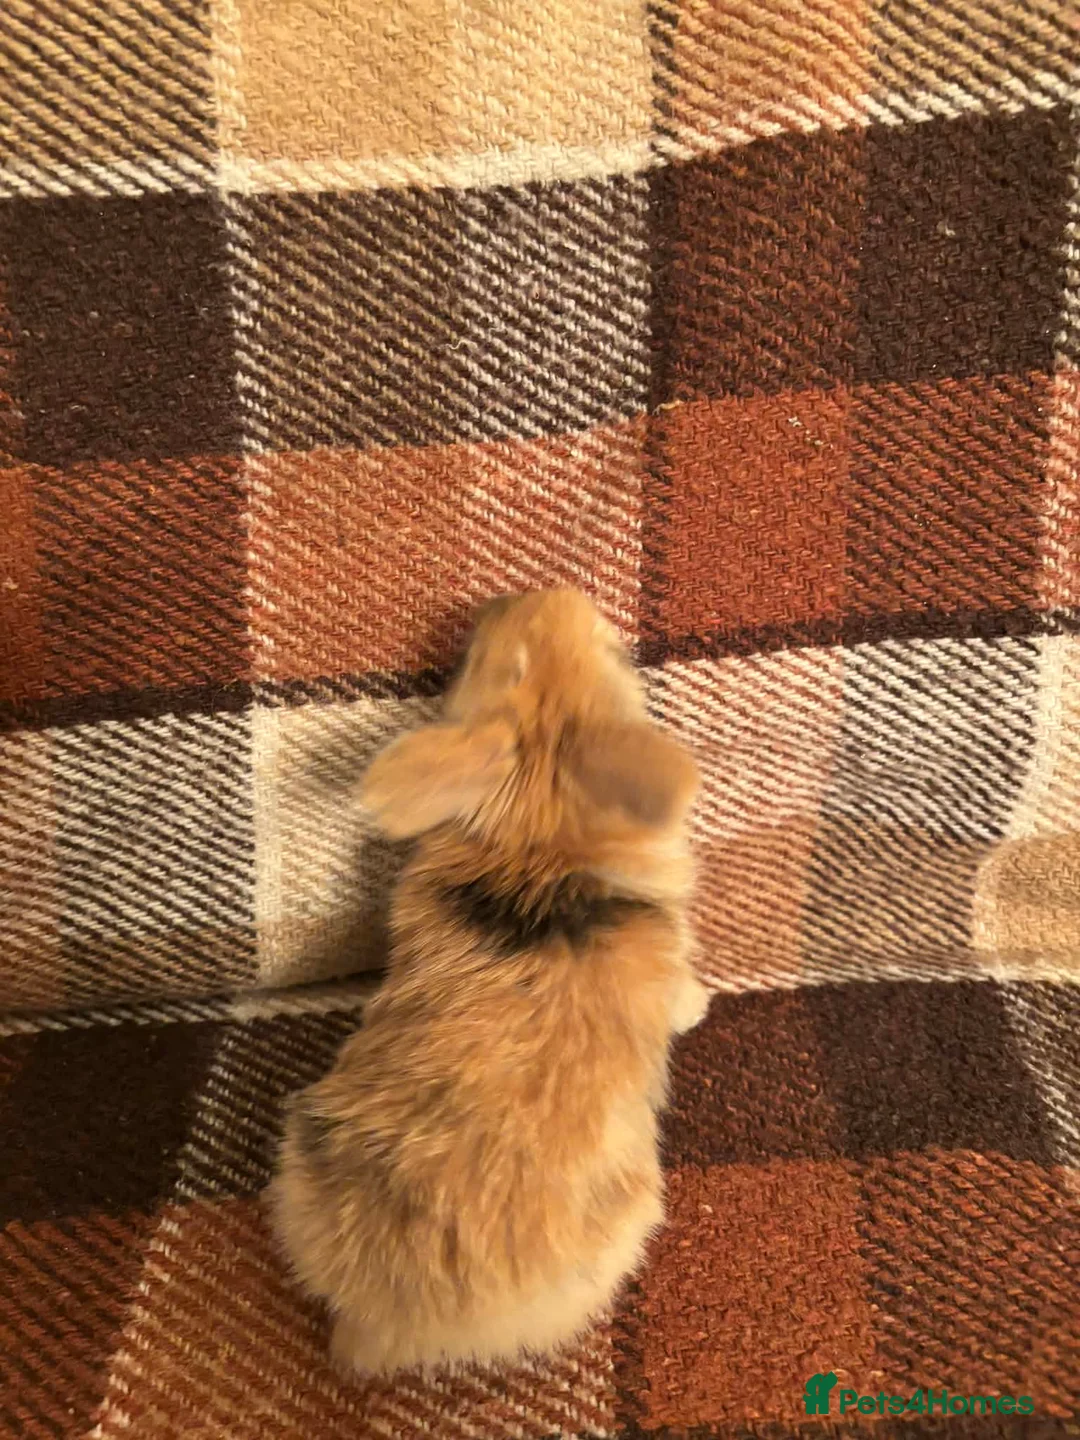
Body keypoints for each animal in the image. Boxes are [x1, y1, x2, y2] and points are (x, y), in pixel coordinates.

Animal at [268, 588, 710, 1376]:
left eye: (478, 662)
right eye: (617, 657)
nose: (517, 596)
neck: (539, 839)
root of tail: (396, 1320)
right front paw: (704, 1005)